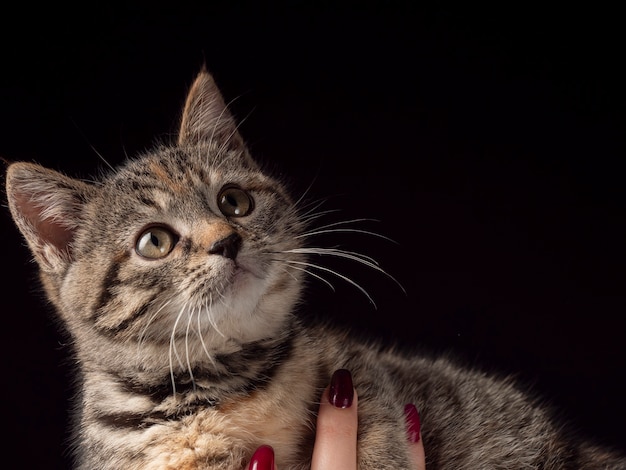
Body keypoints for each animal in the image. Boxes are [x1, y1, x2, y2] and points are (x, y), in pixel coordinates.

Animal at [6, 68, 624, 468]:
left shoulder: (364, 373)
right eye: (154, 241)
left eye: (234, 202)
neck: (230, 386)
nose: (227, 241)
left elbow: (382, 432)